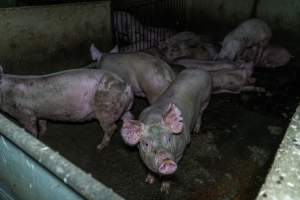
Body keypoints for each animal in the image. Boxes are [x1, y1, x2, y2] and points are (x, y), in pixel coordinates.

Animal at [0, 66, 132, 151]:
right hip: (122, 109)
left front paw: (33, 138)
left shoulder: (26, 114)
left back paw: (99, 147)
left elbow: (31, 129)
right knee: (129, 118)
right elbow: (43, 122)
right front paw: (42, 134)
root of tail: (126, 86)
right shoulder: (39, 113)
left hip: (106, 109)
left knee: (112, 128)